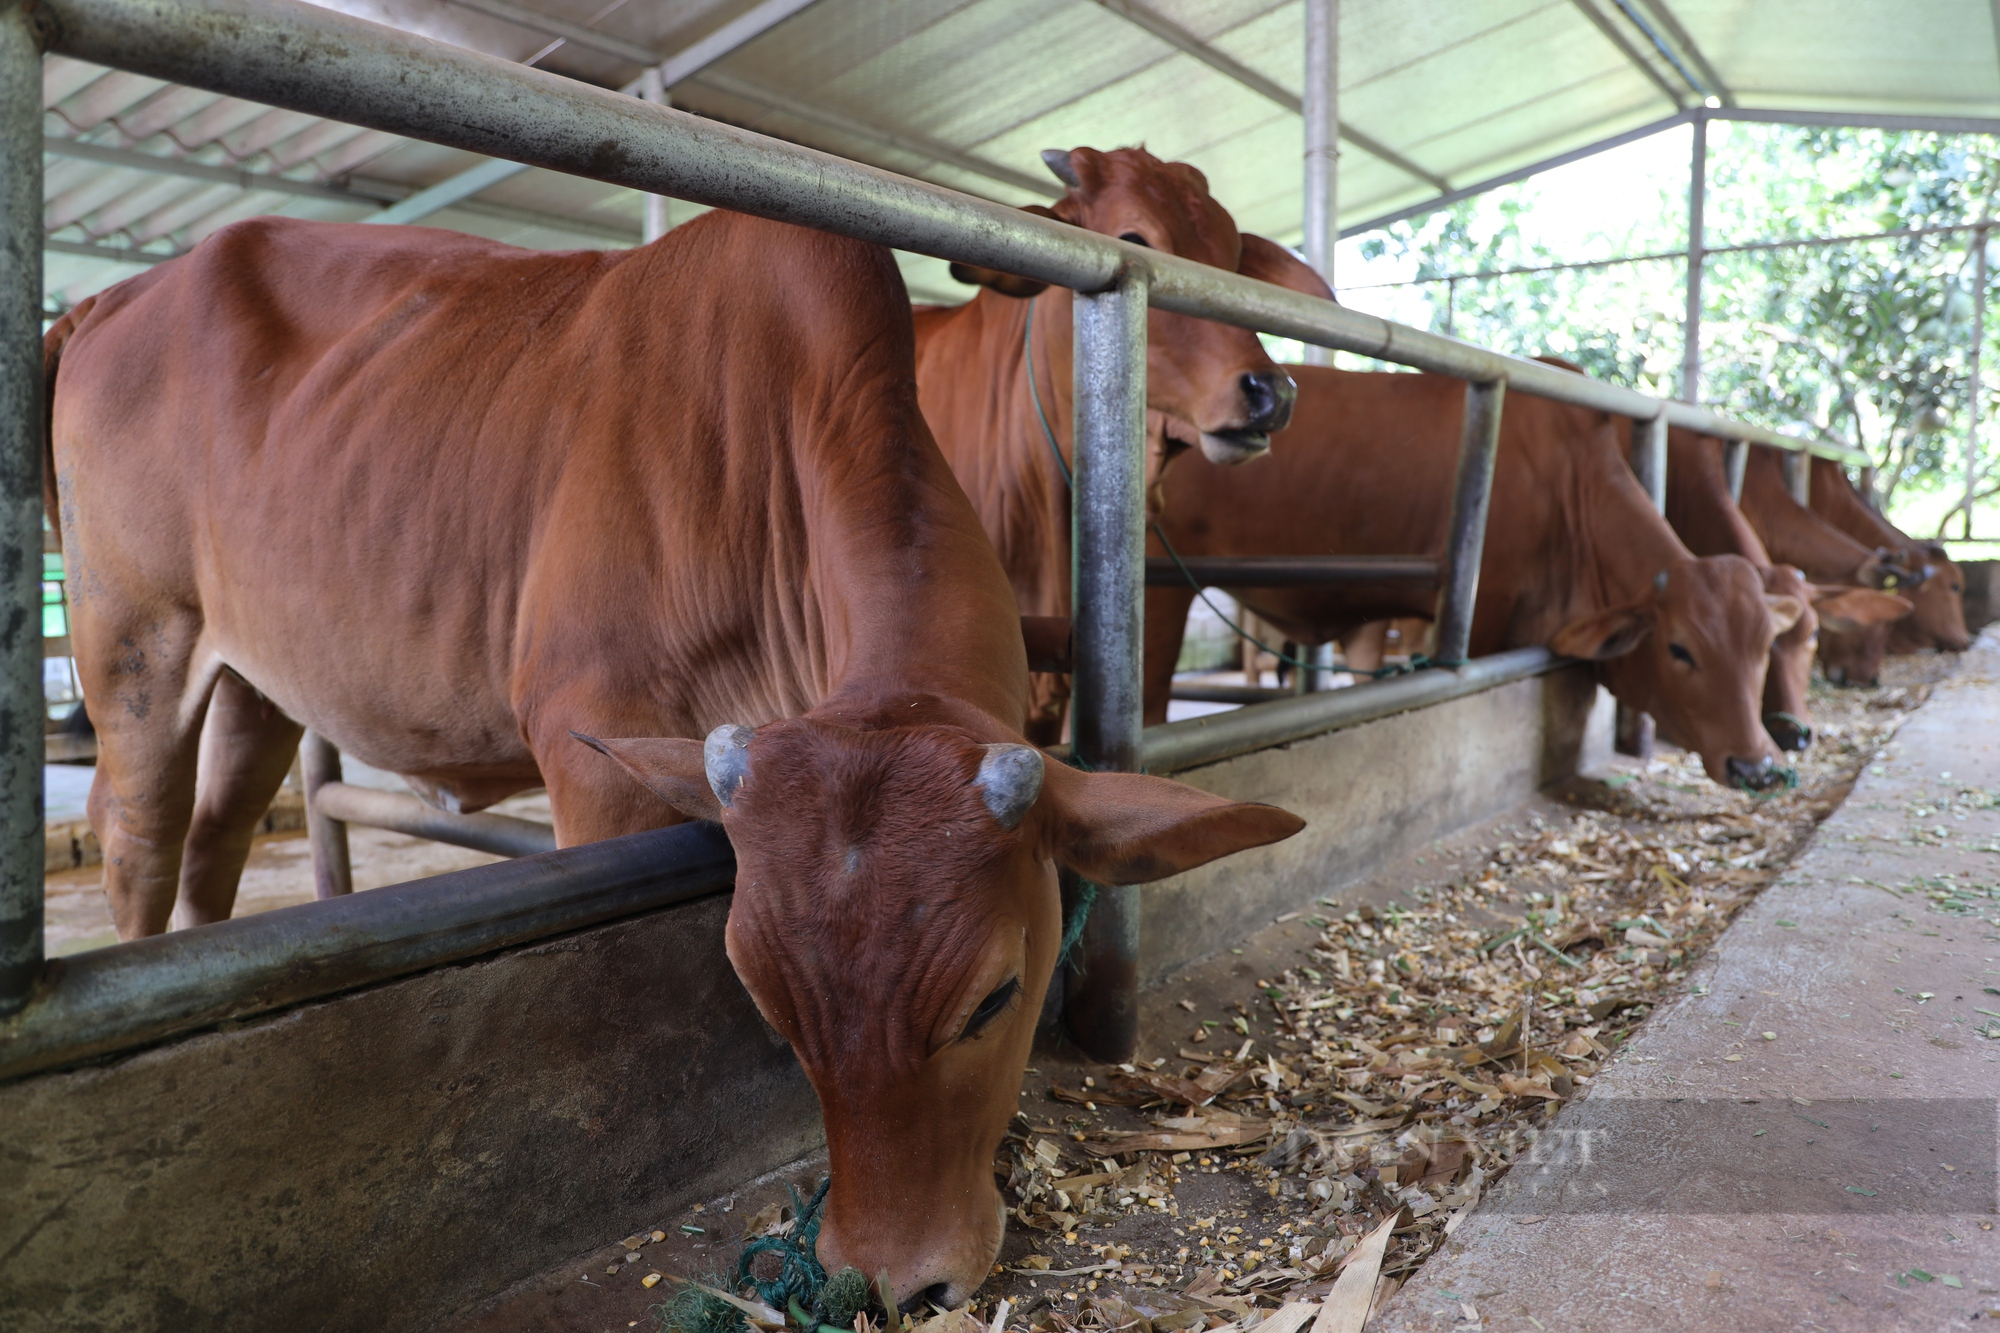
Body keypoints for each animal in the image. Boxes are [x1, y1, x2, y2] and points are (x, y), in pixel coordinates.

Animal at [47, 210, 1304, 1296]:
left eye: (996, 995)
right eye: (768, 1006)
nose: (891, 1277)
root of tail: (114, 294)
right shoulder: (591, 756)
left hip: (255, 681)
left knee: (214, 845)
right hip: (135, 639)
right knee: (138, 838)